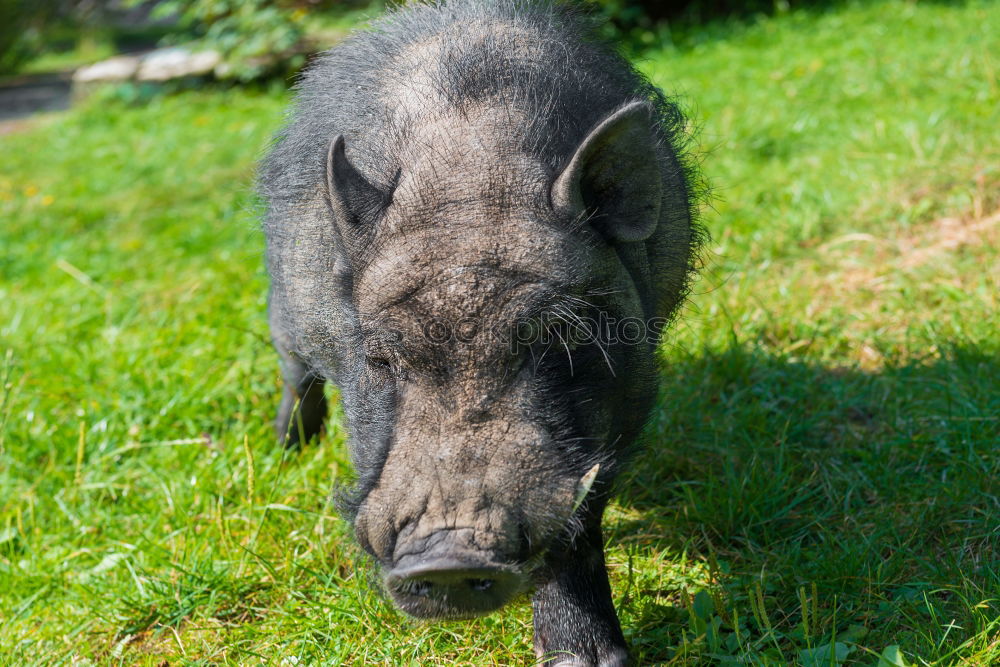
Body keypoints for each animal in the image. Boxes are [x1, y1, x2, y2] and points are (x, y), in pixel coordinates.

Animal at [262, 0, 708, 664]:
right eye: (383, 359)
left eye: (560, 338)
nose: (448, 556)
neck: (471, 167)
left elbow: (580, 525)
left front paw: (585, 660)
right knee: (295, 374)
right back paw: (284, 450)